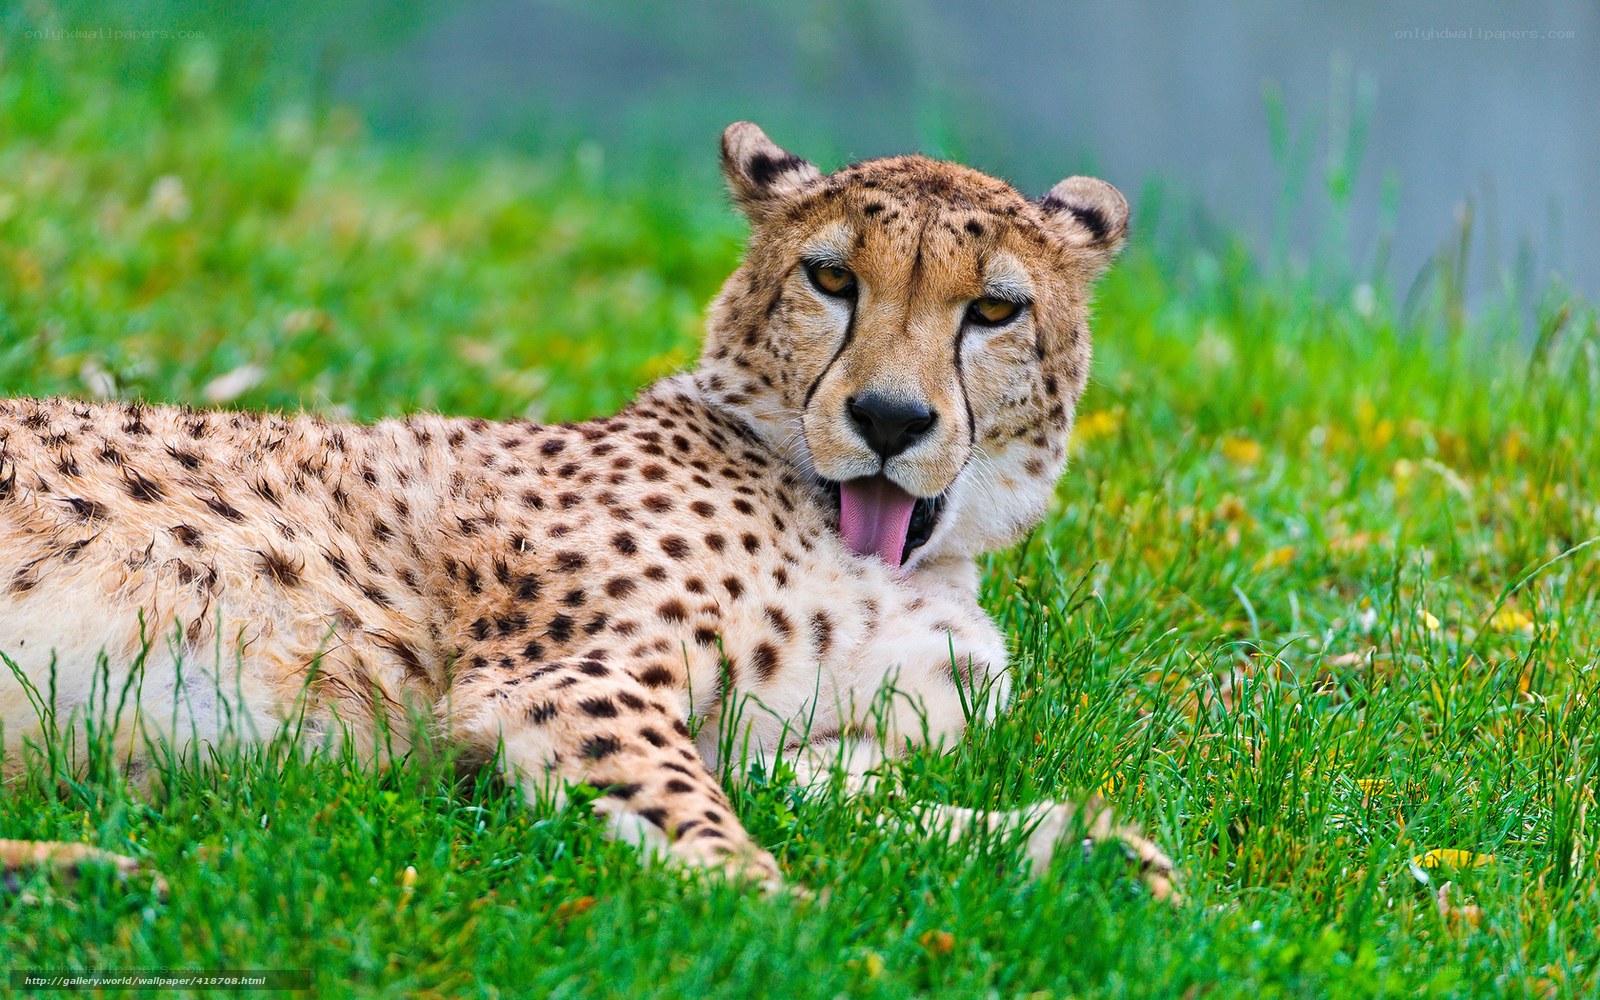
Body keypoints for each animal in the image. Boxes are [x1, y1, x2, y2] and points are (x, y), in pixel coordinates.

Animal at [0, 122, 1176, 901]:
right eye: (832, 279)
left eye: (994, 310)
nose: (888, 417)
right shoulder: (568, 680)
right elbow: (697, 815)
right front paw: (782, 909)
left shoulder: (804, 747)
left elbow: (879, 805)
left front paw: (1079, 850)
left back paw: (91, 871)